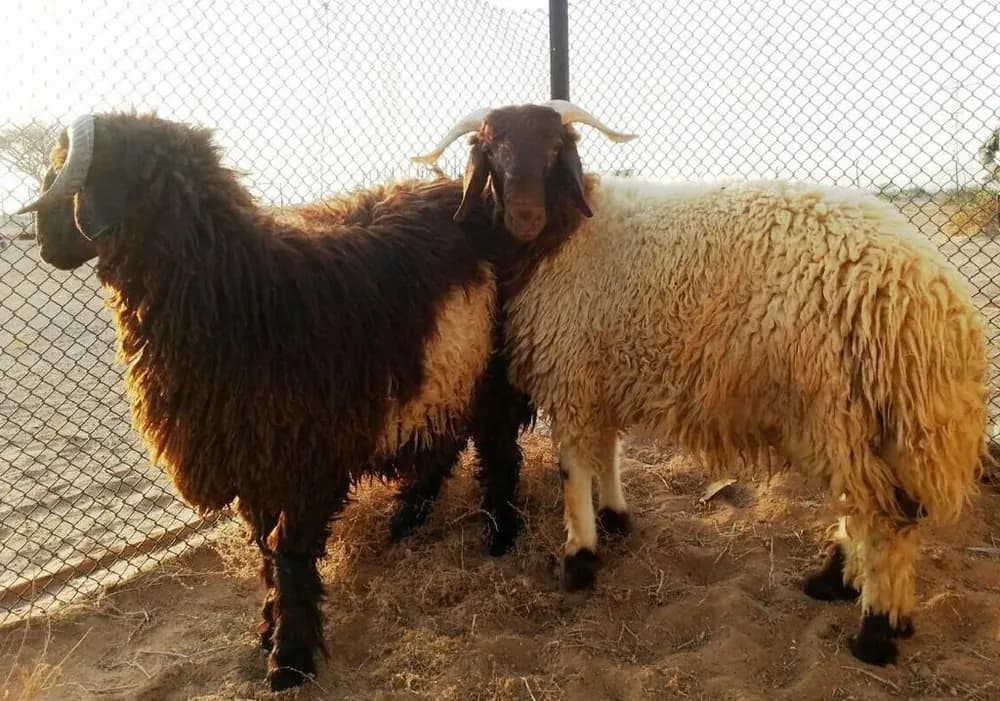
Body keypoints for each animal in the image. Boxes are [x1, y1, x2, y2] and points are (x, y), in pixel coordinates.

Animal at [18, 112, 533, 690]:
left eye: (65, 173)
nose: (44, 244)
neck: (242, 290)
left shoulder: (307, 462)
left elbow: (289, 553)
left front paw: (289, 660)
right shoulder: (254, 465)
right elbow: (267, 551)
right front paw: (270, 634)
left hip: (494, 371)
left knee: (497, 451)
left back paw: (500, 535)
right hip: (442, 376)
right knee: (444, 447)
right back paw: (404, 522)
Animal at [414, 101, 991, 666]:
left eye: (557, 147)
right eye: (490, 149)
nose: (524, 216)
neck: (569, 233)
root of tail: (937, 298)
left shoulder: (573, 370)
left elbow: (573, 469)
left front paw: (579, 558)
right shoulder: (601, 371)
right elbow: (608, 450)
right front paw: (615, 516)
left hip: (842, 407)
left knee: (881, 520)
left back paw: (874, 631)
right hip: (866, 420)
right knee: (878, 512)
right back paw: (838, 585)